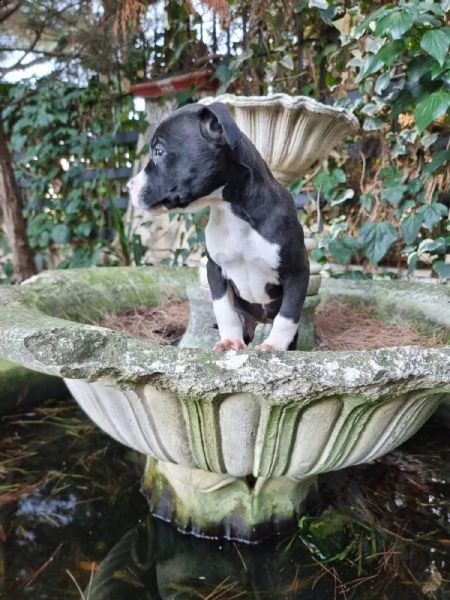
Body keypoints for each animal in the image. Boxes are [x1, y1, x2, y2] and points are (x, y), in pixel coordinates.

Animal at [126, 101, 310, 350]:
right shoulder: (214, 269)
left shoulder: (298, 271)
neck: (234, 213)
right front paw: (230, 341)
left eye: (159, 152)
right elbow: (224, 310)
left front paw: (274, 346)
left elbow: (287, 316)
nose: (128, 186)